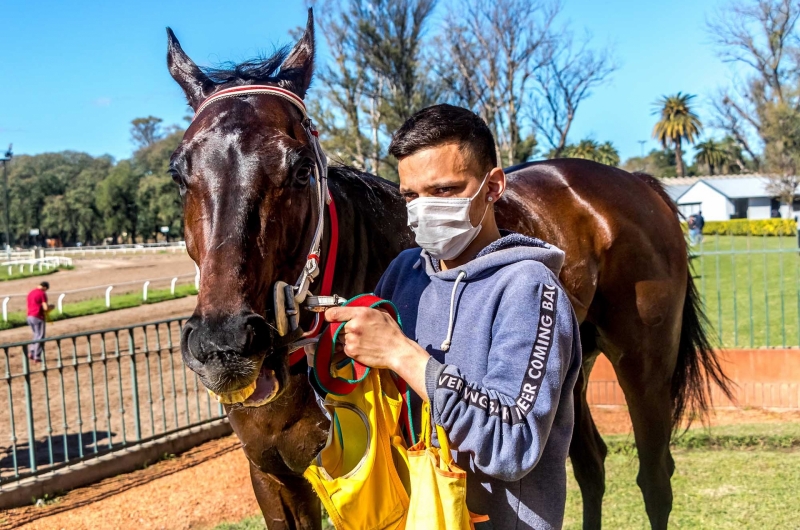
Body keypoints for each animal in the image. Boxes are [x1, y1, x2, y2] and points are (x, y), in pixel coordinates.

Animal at [169, 9, 732, 528]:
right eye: (178, 173)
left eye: (302, 168)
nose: (224, 343)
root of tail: (639, 183)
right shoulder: (274, 479)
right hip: (572, 369)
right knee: (590, 462)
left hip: (645, 363)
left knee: (655, 479)